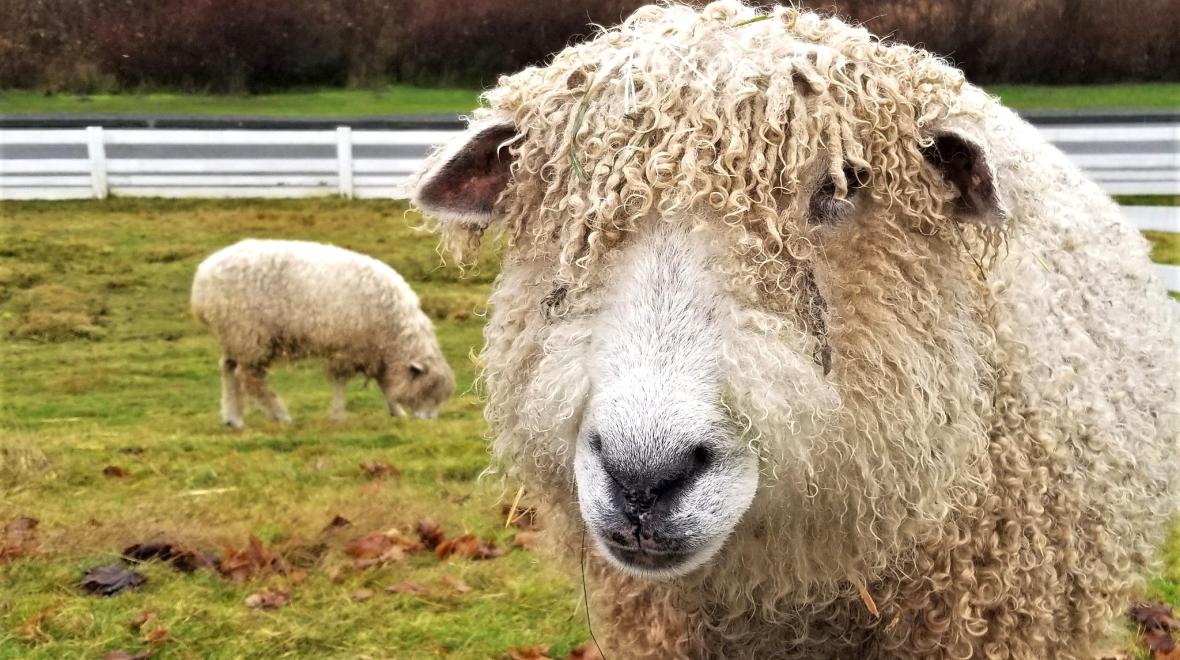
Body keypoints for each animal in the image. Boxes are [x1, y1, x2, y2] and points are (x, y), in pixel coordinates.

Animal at [191, 239, 453, 429]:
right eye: (426, 391)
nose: (429, 422)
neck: (393, 327)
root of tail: (201, 280)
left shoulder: (373, 351)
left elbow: (383, 384)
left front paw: (396, 412)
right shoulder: (346, 348)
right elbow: (340, 382)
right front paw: (337, 415)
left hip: (234, 336)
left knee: (228, 370)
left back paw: (233, 418)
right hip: (249, 335)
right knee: (250, 378)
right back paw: (280, 415)